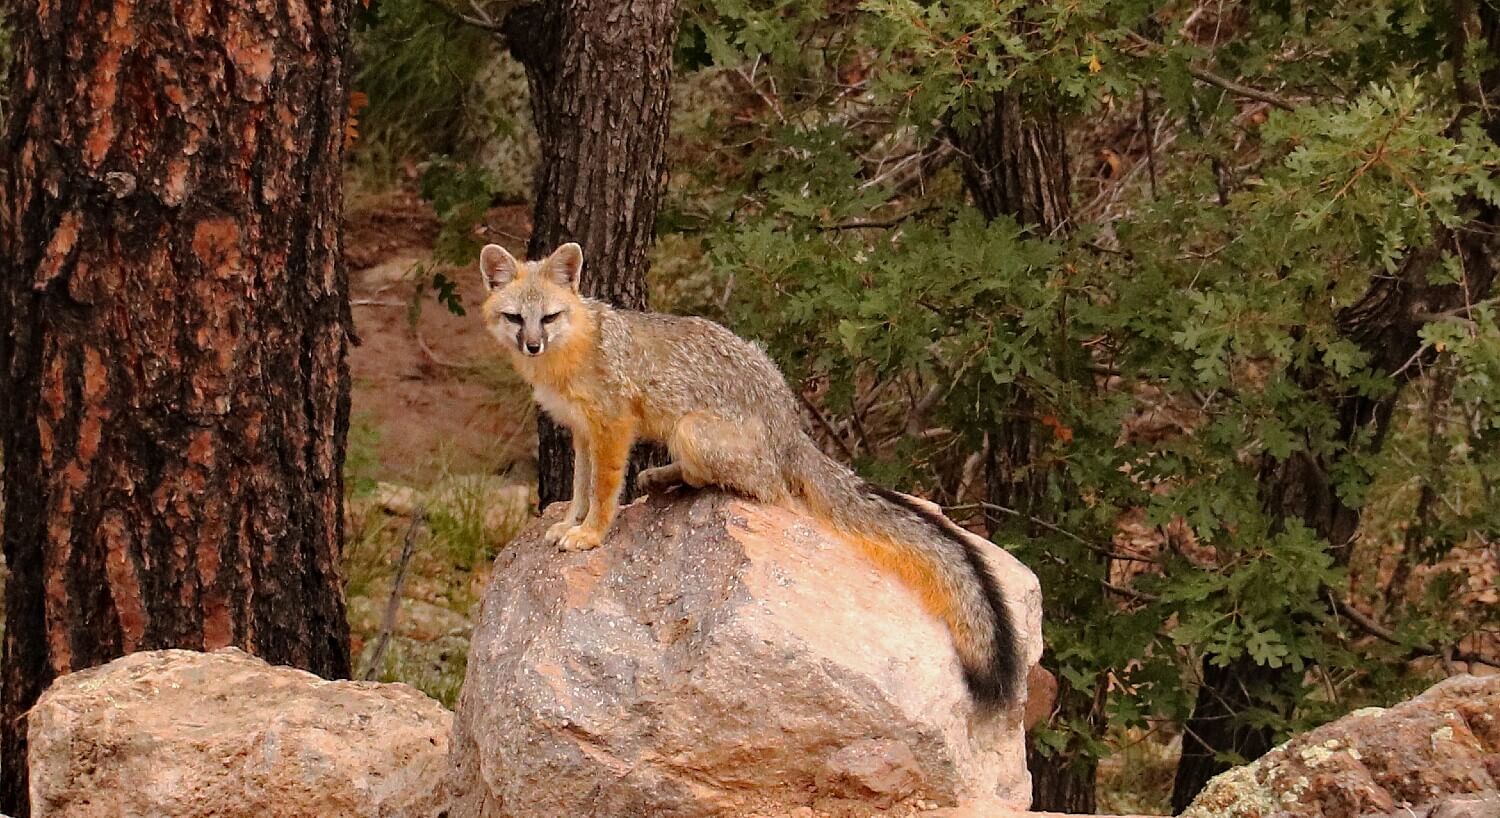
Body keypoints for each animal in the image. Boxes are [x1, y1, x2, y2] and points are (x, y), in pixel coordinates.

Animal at [480, 238, 1020, 705]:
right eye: (516, 318)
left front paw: (592, 534)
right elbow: (579, 488)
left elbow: (604, 490)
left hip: (691, 431)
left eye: (550, 317)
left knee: (761, 486)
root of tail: (791, 425)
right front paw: (570, 523)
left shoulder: (612, 427)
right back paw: (662, 478)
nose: (532, 345)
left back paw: (673, 479)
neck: (570, 353)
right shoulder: (581, 431)